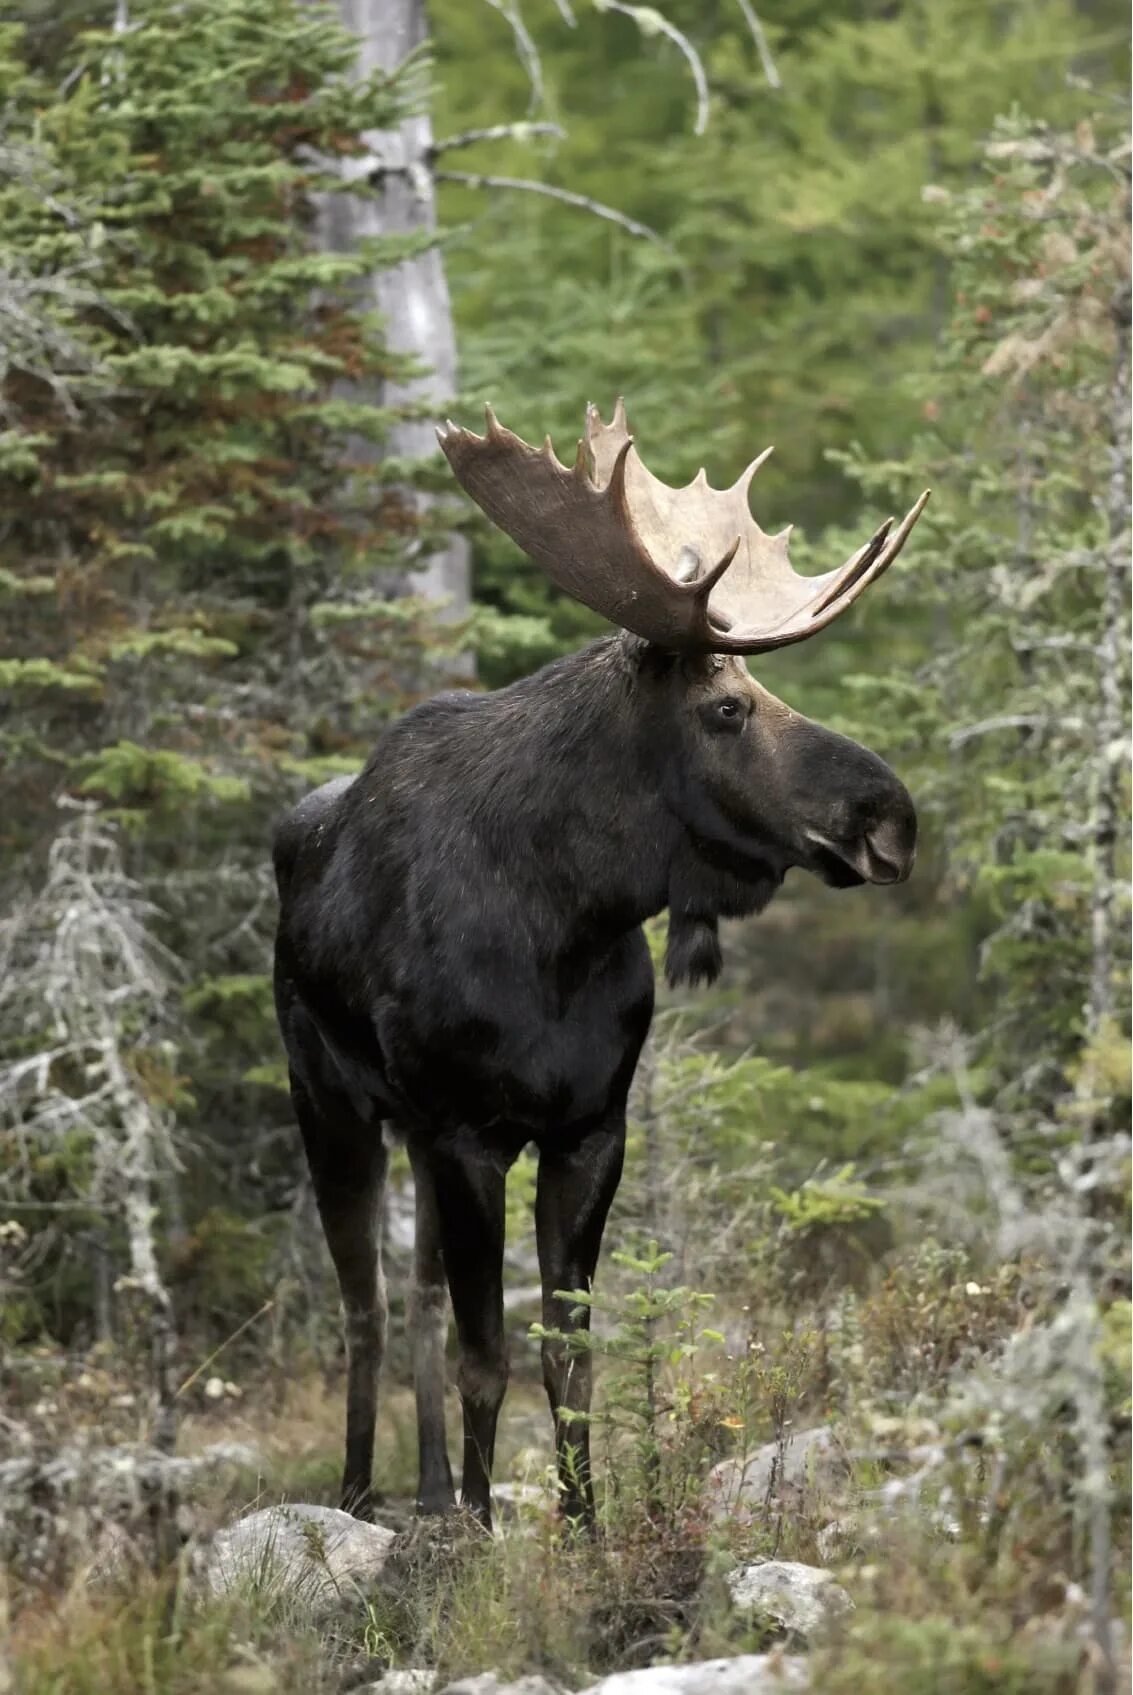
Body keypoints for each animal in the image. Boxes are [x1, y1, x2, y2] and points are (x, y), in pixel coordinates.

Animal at [274, 403, 929, 1532]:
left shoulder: (589, 1128)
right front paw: (483, 1531)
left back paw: (429, 1489)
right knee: (367, 1307)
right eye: (725, 708)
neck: (567, 923)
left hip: (408, 1131)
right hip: (332, 1103)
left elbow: (568, 1357)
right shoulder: (468, 1131)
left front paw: (580, 1524)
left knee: (415, 1299)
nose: (892, 817)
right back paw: (360, 1495)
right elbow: (486, 1355)